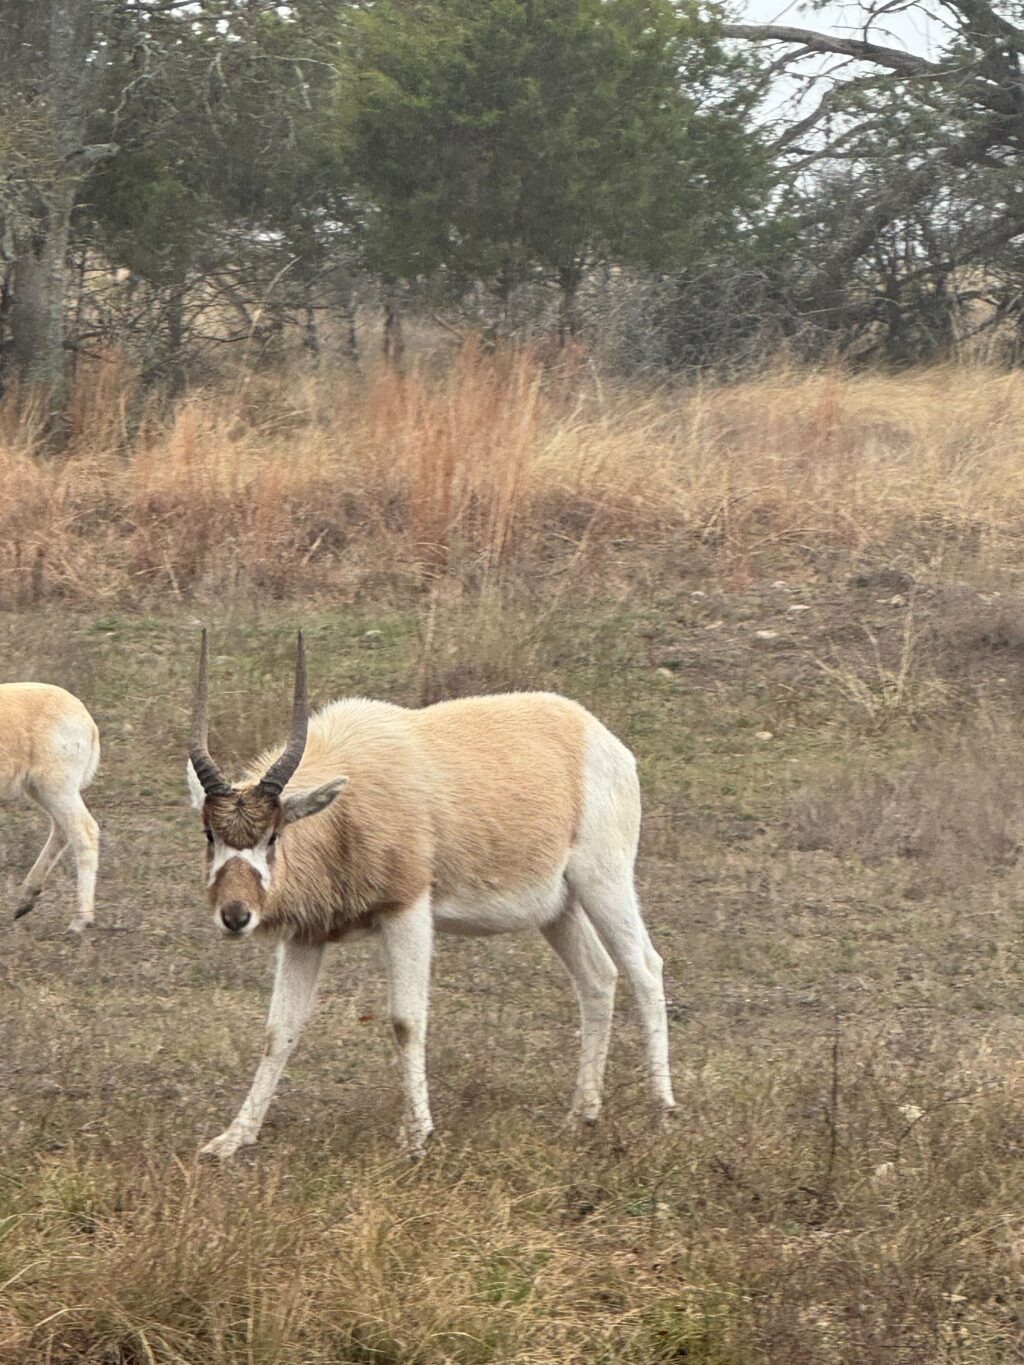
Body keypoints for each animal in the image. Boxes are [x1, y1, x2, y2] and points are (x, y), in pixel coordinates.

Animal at [1, 679, 100, 928]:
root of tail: (89, 724)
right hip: (39, 788)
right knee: (62, 830)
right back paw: (26, 900)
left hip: (57, 785)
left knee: (84, 831)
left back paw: (80, 921)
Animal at [188, 627, 677, 1152]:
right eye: (210, 834)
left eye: (273, 836)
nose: (235, 916)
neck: (345, 804)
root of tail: (599, 737)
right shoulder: (307, 936)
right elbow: (278, 1031)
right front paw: (231, 1139)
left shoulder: (408, 911)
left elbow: (406, 1021)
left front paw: (417, 1134)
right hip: (558, 909)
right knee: (598, 977)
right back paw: (582, 1113)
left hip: (604, 880)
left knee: (644, 967)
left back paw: (662, 1111)